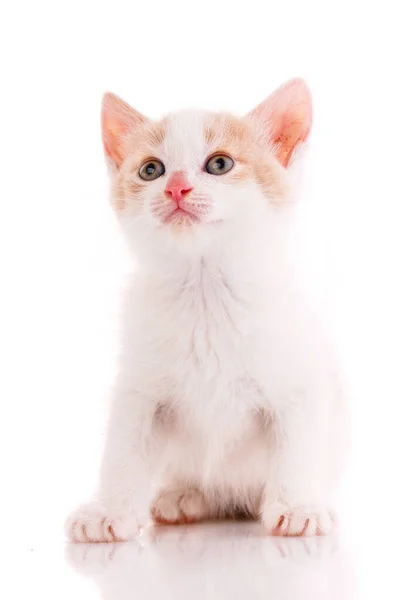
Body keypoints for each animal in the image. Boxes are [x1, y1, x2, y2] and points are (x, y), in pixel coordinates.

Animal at [66, 77, 346, 540]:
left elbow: (297, 443)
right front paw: (109, 510)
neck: (205, 293)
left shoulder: (297, 381)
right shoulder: (138, 388)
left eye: (219, 164)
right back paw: (186, 495)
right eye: (150, 170)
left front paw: (297, 504)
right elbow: (123, 447)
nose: (176, 187)